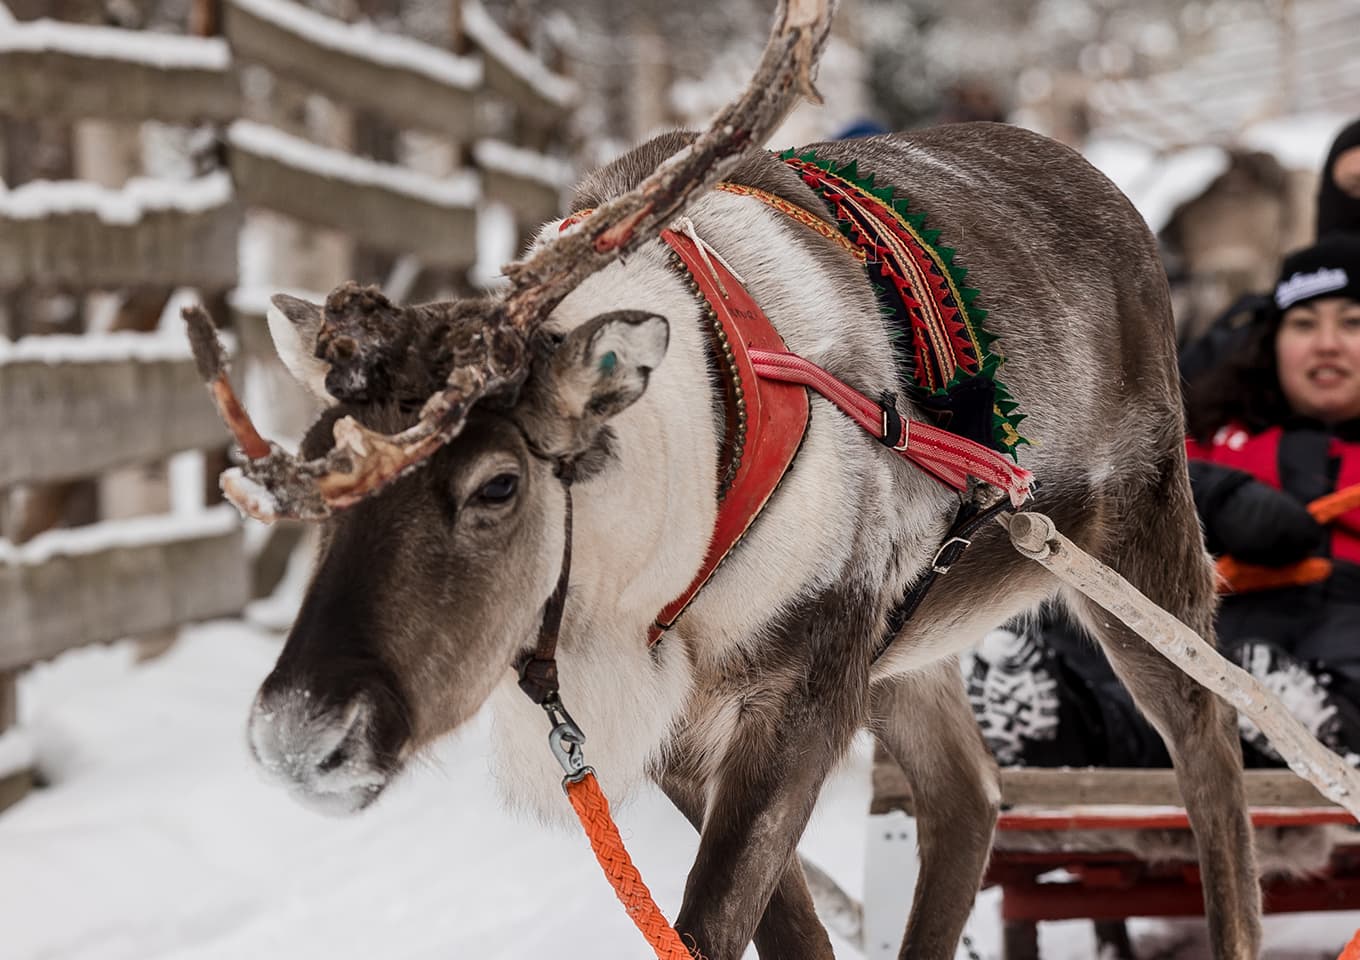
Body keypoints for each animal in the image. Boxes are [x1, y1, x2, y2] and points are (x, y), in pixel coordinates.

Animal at [183, 2, 1261, 957]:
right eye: (316, 483)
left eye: (496, 485)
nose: (299, 739)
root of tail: (1116, 199)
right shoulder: (692, 726)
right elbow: (780, 936)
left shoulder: (804, 686)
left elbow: (707, 926)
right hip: (905, 647)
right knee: (968, 792)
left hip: (1139, 543)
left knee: (1210, 742)